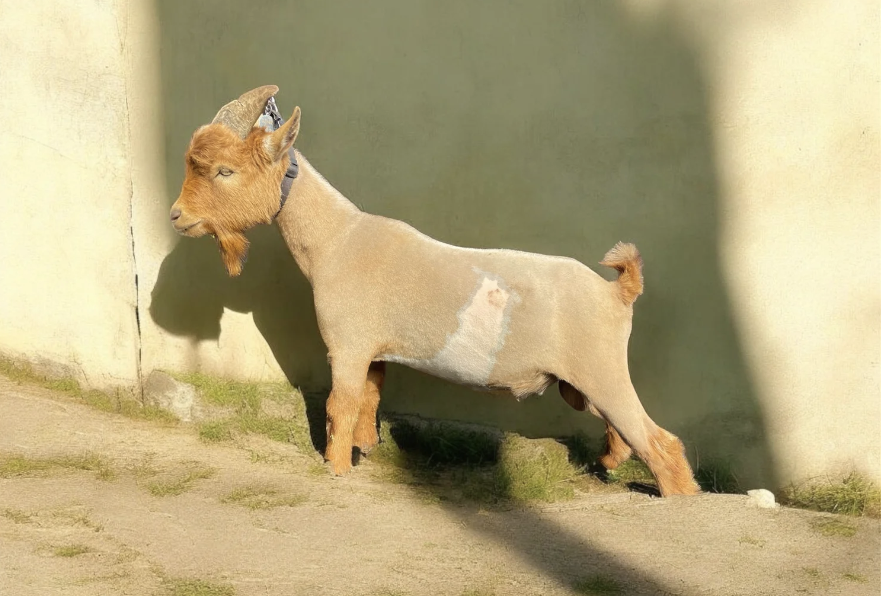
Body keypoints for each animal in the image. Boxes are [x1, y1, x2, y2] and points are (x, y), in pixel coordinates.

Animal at [169, 85, 700, 496]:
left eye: (224, 171)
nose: (177, 216)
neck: (338, 238)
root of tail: (618, 292)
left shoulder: (347, 343)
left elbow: (341, 403)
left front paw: (336, 467)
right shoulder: (374, 351)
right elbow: (370, 398)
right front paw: (365, 448)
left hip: (600, 367)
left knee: (658, 441)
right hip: (583, 383)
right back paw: (610, 462)